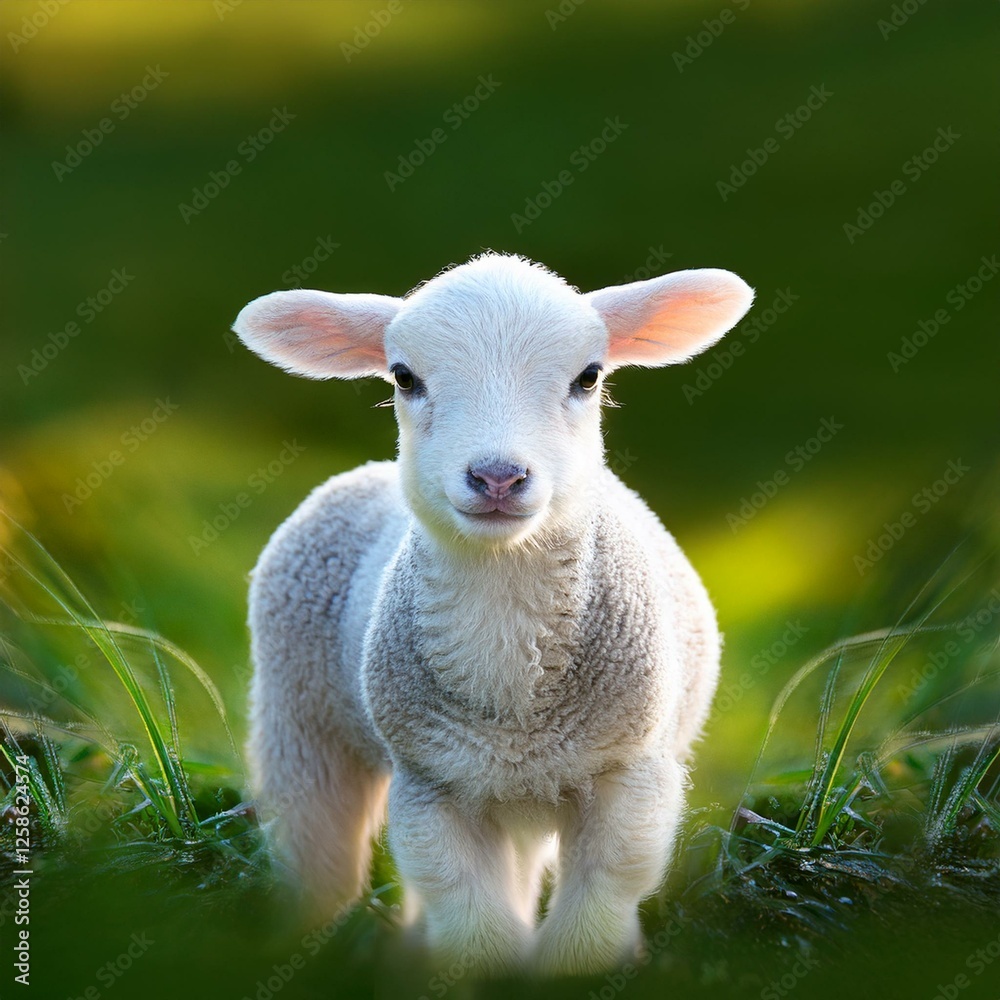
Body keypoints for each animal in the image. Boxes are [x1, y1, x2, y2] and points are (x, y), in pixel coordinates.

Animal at [233, 252, 753, 977]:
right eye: (404, 376)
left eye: (589, 376)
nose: (498, 477)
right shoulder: (431, 783)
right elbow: (470, 918)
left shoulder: (630, 774)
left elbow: (604, 897)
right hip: (301, 718)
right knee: (319, 853)